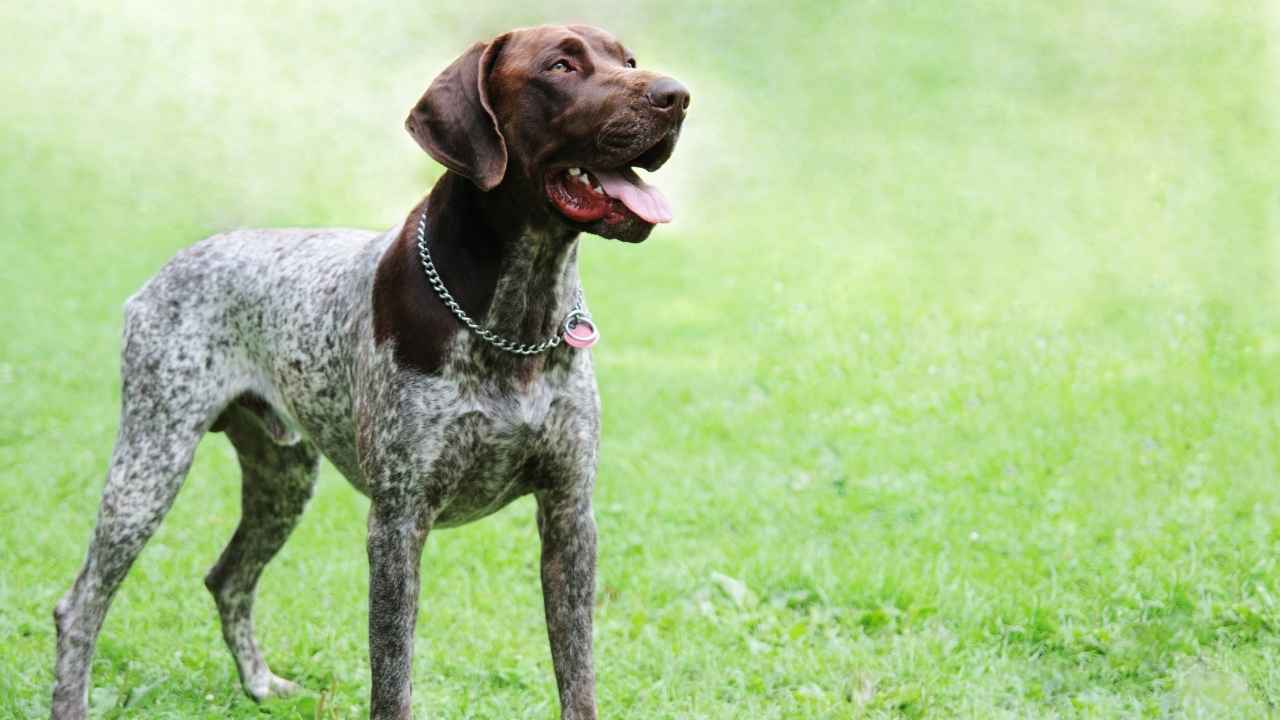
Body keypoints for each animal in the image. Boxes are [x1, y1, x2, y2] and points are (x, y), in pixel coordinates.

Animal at [51, 23, 691, 717]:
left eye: (627, 59)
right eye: (561, 66)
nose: (676, 95)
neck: (517, 320)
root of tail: (169, 267)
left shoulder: (570, 514)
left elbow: (578, 679)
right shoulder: (397, 524)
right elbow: (392, 679)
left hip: (283, 477)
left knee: (227, 579)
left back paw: (260, 684)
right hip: (150, 466)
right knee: (80, 606)